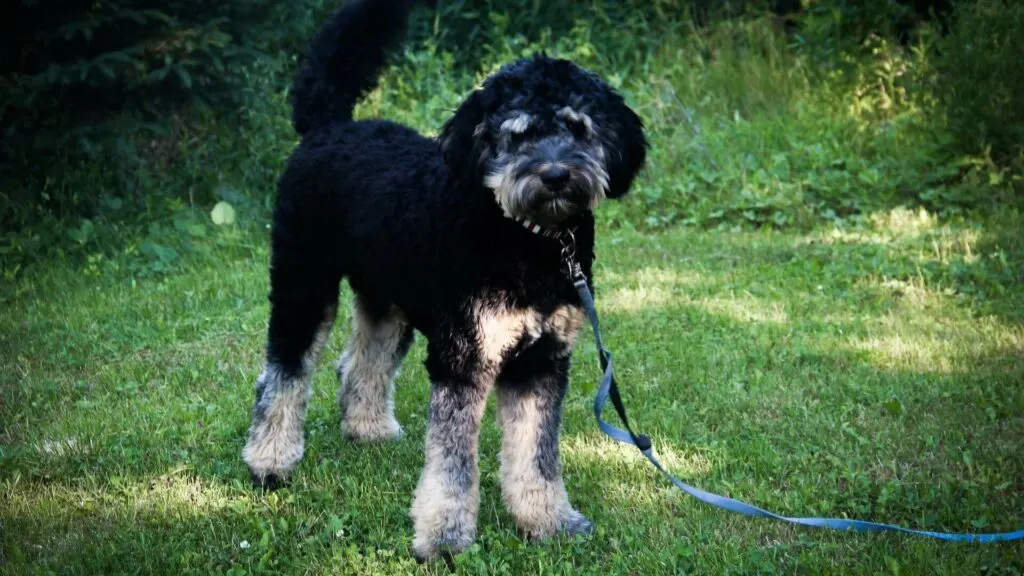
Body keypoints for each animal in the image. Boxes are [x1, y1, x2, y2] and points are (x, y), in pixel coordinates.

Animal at [239, 0, 647, 557]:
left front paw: (547, 521)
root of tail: (329, 126)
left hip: (387, 301)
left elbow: (536, 455)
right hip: (303, 285)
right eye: (519, 132)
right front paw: (445, 538)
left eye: (579, 128)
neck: (528, 241)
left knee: (361, 364)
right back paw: (269, 461)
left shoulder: (541, 361)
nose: (555, 175)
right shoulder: (463, 358)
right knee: (284, 373)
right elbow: (453, 464)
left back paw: (368, 429)